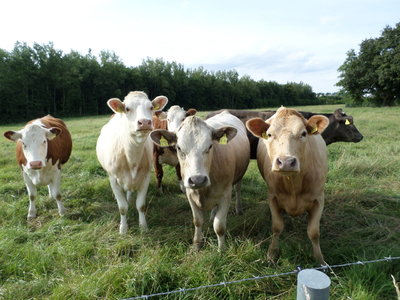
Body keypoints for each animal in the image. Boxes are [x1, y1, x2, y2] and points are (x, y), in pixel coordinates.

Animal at [97, 91, 169, 234]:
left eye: (151, 107)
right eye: (127, 108)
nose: (144, 122)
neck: (132, 159)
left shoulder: (145, 177)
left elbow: (140, 205)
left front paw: (143, 227)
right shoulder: (113, 178)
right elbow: (122, 207)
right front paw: (123, 228)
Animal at [151, 110, 250, 251]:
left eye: (210, 146)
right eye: (179, 148)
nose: (197, 180)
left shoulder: (225, 195)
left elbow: (219, 226)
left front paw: (221, 249)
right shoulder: (189, 194)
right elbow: (197, 221)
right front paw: (196, 244)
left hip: (239, 176)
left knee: (238, 190)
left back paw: (238, 208)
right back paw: (212, 215)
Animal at [247, 106, 328, 264]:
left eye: (303, 133)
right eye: (270, 134)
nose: (286, 162)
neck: (293, 183)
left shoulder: (319, 199)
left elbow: (314, 232)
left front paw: (320, 260)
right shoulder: (272, 197)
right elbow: (277, 227)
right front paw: (272, 253)